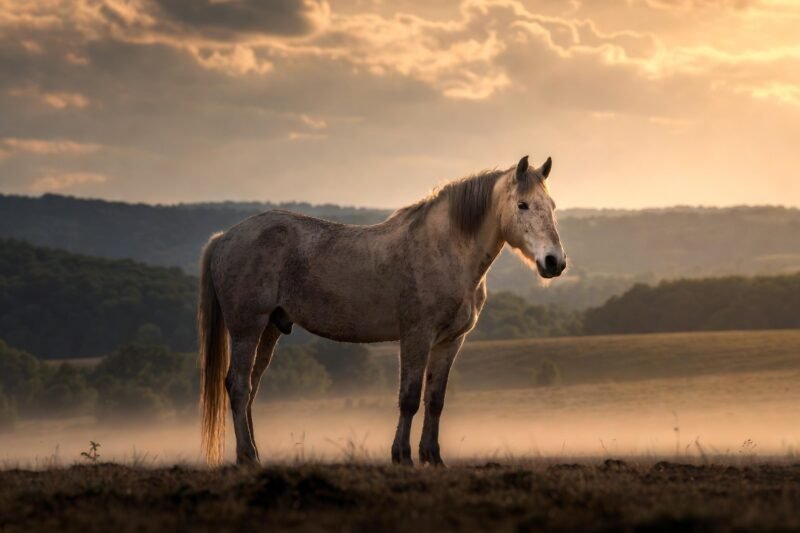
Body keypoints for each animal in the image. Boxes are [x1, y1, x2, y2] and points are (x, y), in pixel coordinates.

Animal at [198, 155, 566, 466]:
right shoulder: (416, 335)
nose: (554, 262)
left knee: (250, 388)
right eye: (522, 205)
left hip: (270, 328)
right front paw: (402, 456)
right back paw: (247, 457)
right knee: (238, 386)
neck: (444, 249)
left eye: (551, 206)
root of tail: (224, 238)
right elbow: (409, 397)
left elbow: (435, 400)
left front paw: (432, 457)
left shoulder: (450, 342)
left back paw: (253, 455)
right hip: (246, 329)